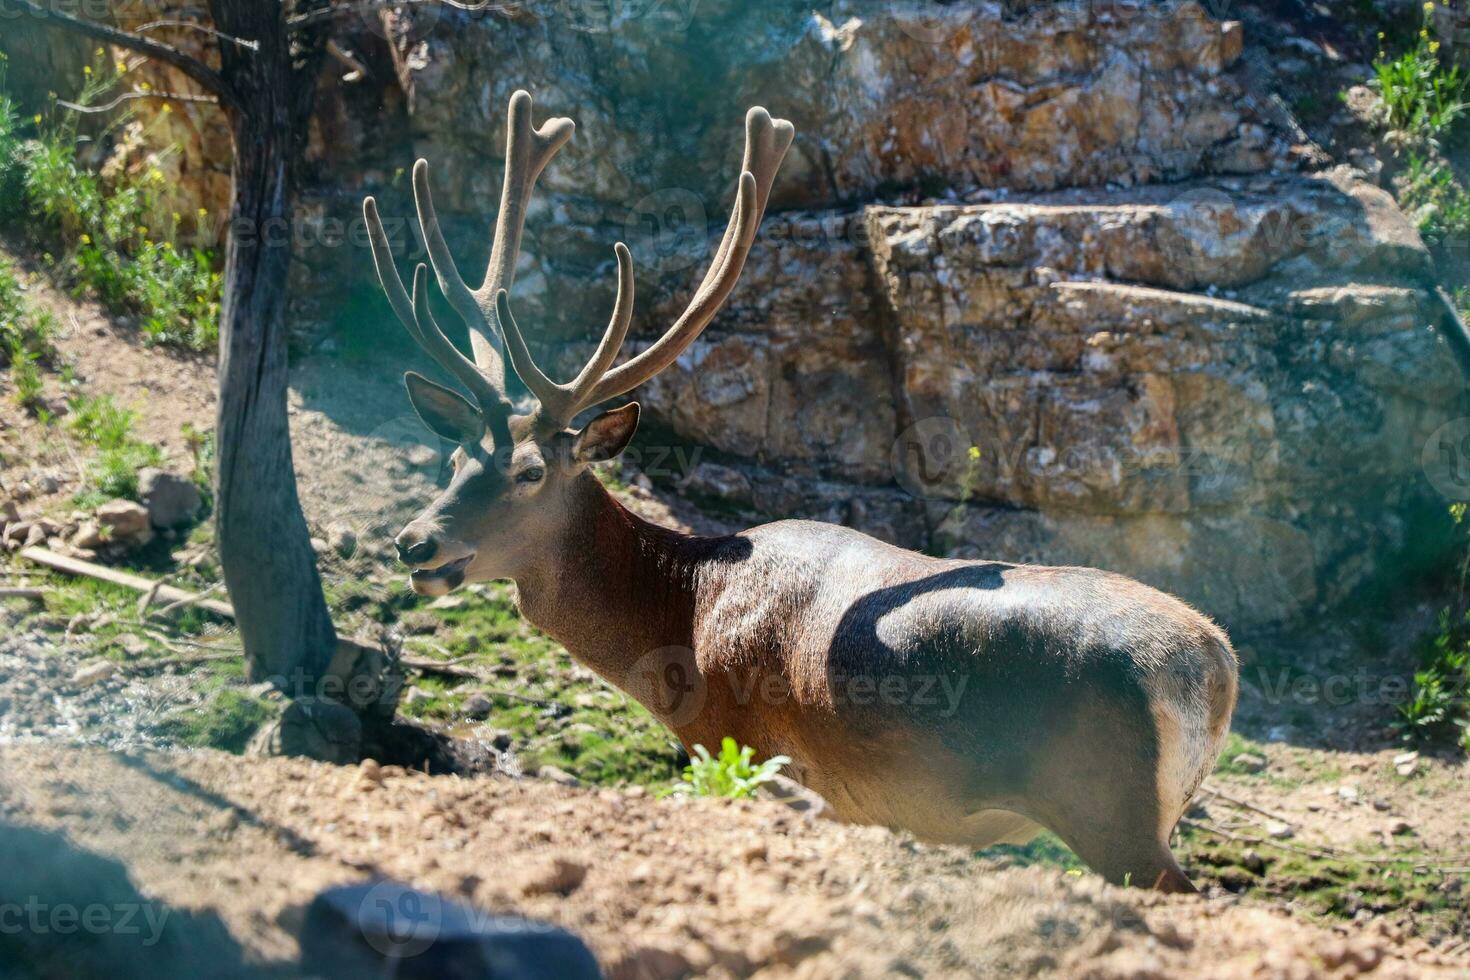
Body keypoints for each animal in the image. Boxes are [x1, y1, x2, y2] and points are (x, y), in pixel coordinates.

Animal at [358, 91, 1240, 899]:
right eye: (455, 458)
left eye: (530, 471)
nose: (414, 541)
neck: (680, 620)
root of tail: (1212, 663)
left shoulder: (741, 741)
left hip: (1109, 809)